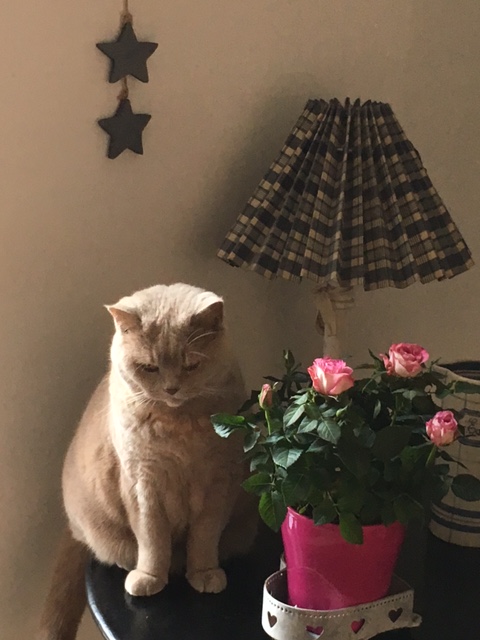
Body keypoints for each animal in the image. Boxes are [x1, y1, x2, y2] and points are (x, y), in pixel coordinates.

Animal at [37, 284, 256, 640]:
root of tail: (74, 528)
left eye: (191, 364)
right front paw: (150, 578)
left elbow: (204, 536)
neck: (179, 427)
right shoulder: (142, 484)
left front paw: (204, 572)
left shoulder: (219, 482)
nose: (171, 388)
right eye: (150, 367)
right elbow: (152, 539)